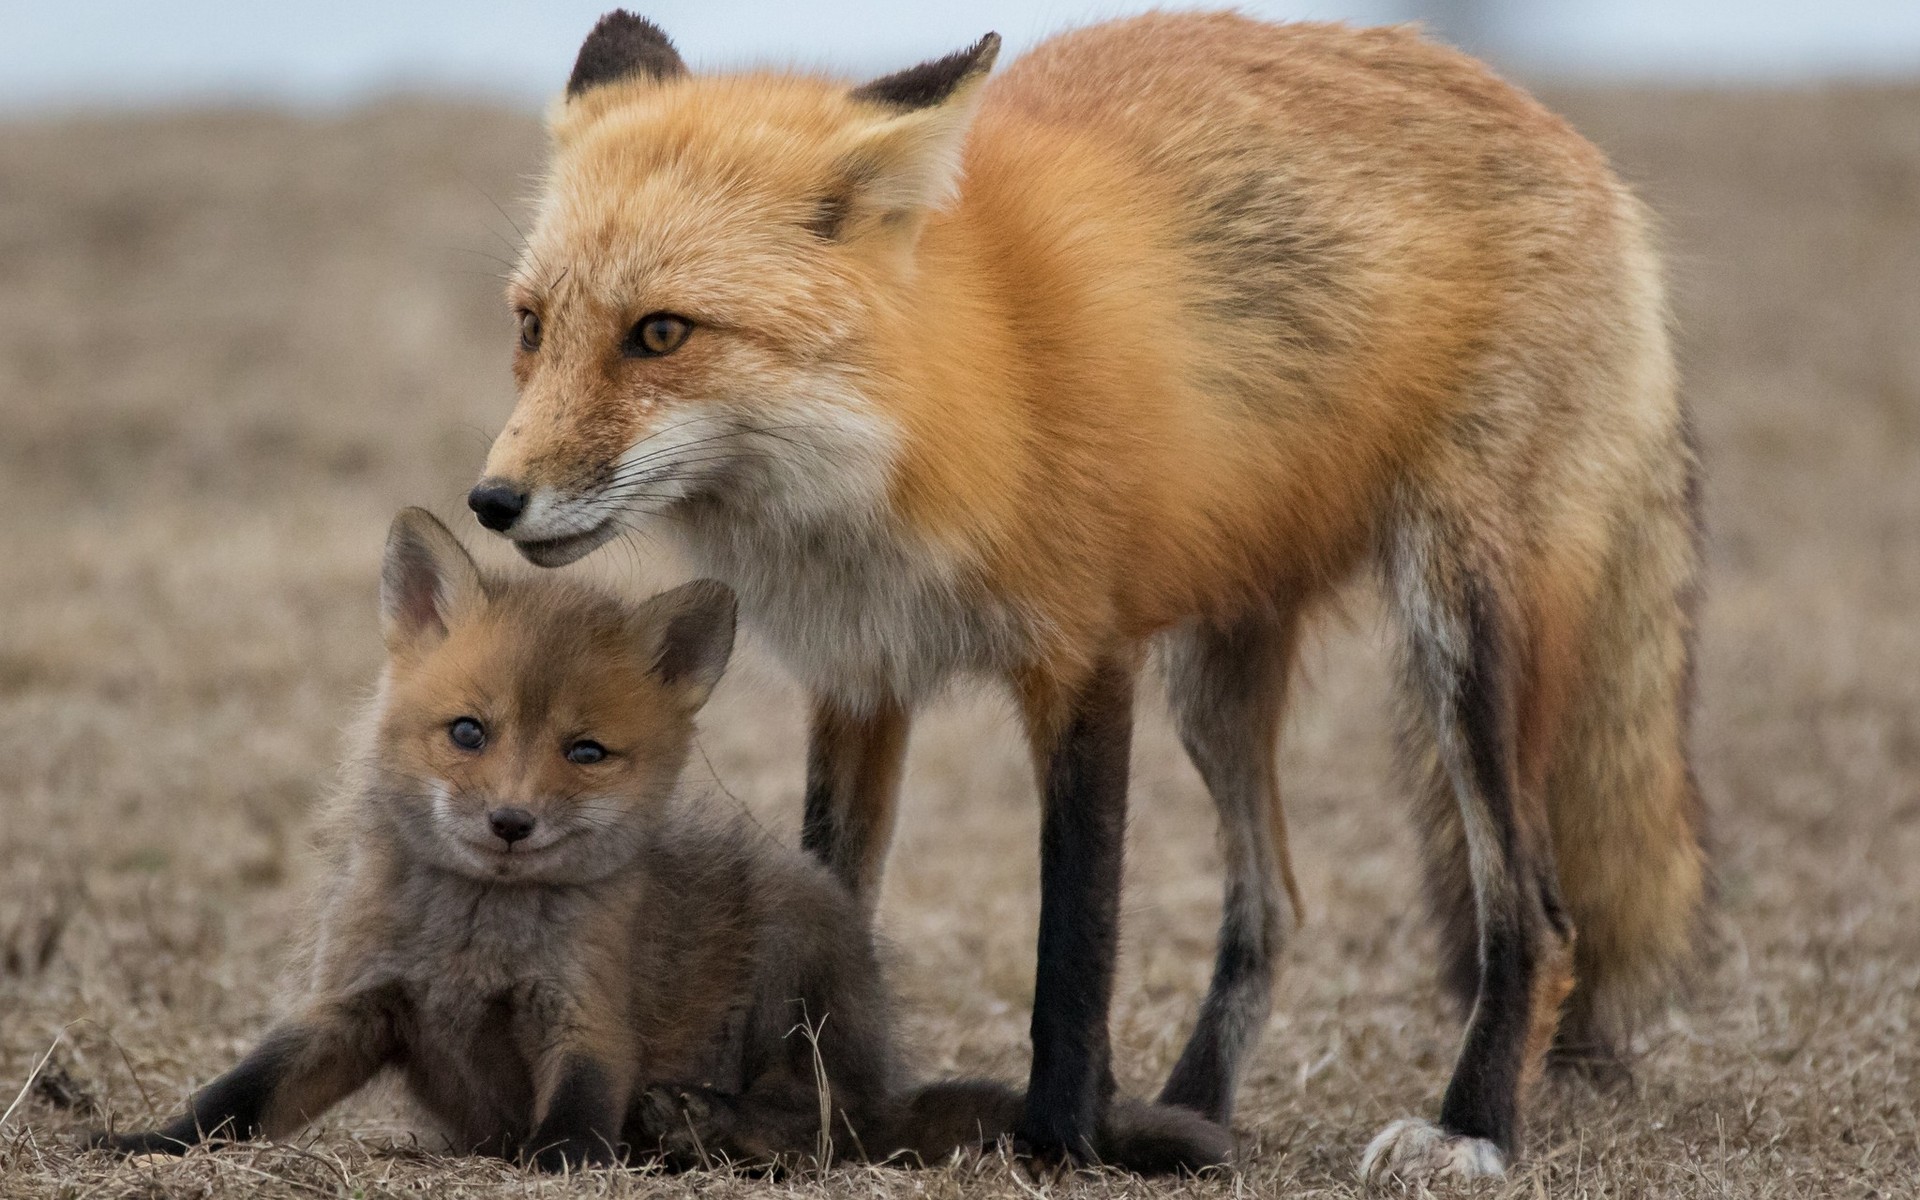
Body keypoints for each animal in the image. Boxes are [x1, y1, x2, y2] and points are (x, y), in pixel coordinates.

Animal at [468, 9, 1712, 1182]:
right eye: (531, 326)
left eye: (660, 333)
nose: (492, 501)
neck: (946, 400)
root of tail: (1560, 133)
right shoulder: (862, 677)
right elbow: (829, 914)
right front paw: (807, 1126)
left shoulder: (1082, 658)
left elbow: (1074, 945)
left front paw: (1061, 1139)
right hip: (1214, 684)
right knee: (1272, 909)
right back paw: (1190, 1115)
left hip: (1460, 633)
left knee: (1535, 916)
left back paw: (1469, 1126)